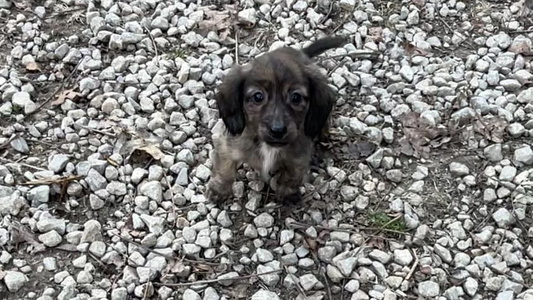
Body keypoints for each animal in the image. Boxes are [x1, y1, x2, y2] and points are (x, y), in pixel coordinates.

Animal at [206, 35, 348, 204]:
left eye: (296, 97)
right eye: (258, 96)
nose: (278, 130)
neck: (268, 146)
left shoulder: (299, 157)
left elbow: (292, 176)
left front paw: (287, 193)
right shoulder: (227, 147)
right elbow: (224, 169)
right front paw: (219, 190)